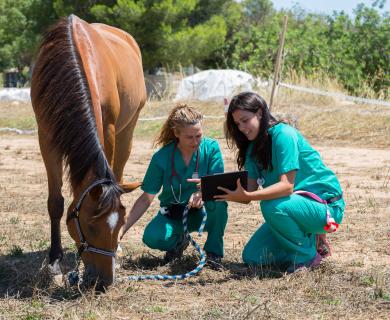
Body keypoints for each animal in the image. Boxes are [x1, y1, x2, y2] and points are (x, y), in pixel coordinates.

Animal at [30, 15, 146, 288]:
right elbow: (55, 203)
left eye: (121, 221)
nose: (104, 281)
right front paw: (54, 261)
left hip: (128, 130)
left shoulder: (109, 129)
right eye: (91, 227)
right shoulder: (46, 138)